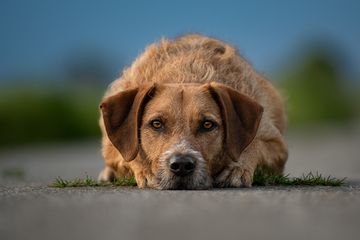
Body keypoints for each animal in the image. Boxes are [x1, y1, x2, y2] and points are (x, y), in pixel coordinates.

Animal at [97, 34, 288, 189]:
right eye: (156, 124)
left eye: (207, 124)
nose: (181, 165)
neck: (185, 75)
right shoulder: (112, 147)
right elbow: (129, 154)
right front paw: (145, 169)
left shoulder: (278, 147)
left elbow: (255, 145)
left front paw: (237, 167)